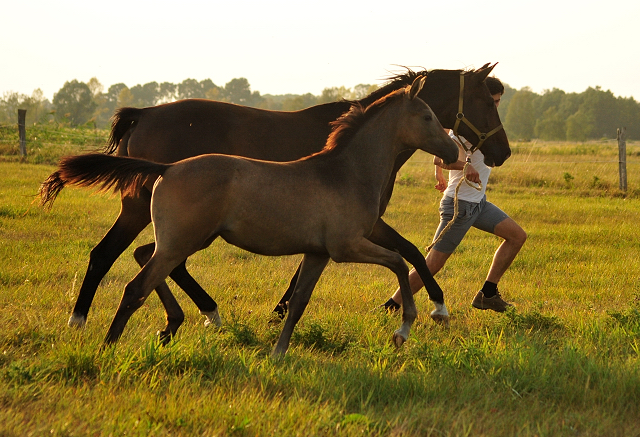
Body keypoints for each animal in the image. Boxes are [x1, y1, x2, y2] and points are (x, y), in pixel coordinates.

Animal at [40, 62, 510, 334]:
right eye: (488, 101)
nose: (502, 152)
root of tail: (143, 114)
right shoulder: (356, 225)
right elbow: (409, 251)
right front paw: (438, 305)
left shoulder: (358, 225)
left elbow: (405, 250)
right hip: (144, 209)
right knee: (113, 255)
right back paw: (84, 320)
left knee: (143, 257)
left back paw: (192, 315)